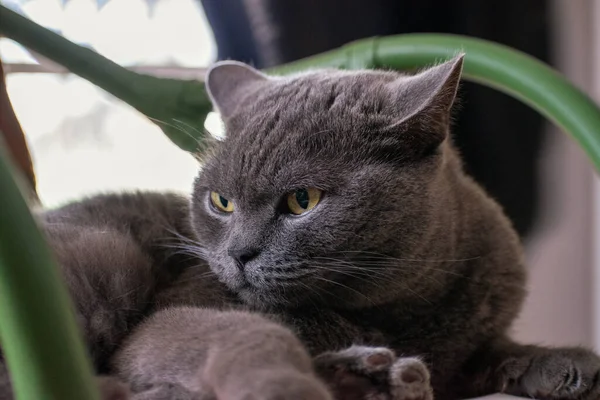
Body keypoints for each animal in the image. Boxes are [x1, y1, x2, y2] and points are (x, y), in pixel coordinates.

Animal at [2, 54, 596, 400]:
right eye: (222, 202)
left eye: (301, 201)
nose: (238, 254)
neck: (393, 316)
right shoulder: (171, 313)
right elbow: (254, 332)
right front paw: (290, 384)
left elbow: (494, 349)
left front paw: (566, 366)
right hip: (108, 258)